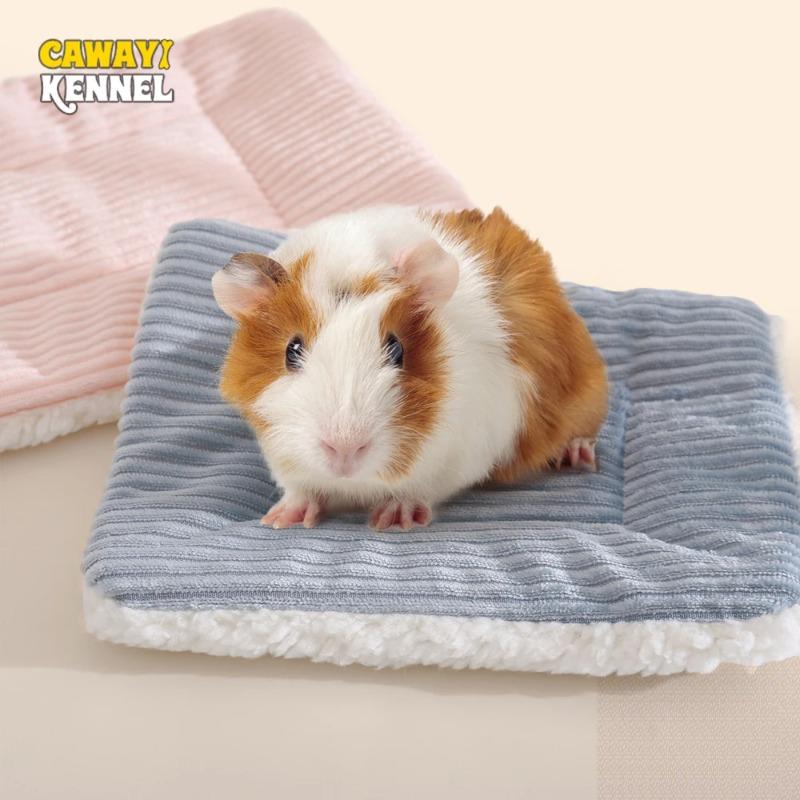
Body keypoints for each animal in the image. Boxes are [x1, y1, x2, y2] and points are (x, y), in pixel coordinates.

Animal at [212, 205, 608, 530]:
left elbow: (420, 488)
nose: (344, 449)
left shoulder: (461, 454)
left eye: (396, 348)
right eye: (292, 350)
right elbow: (299, 489)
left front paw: (393, 519)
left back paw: (578, 457)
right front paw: (281, 519)